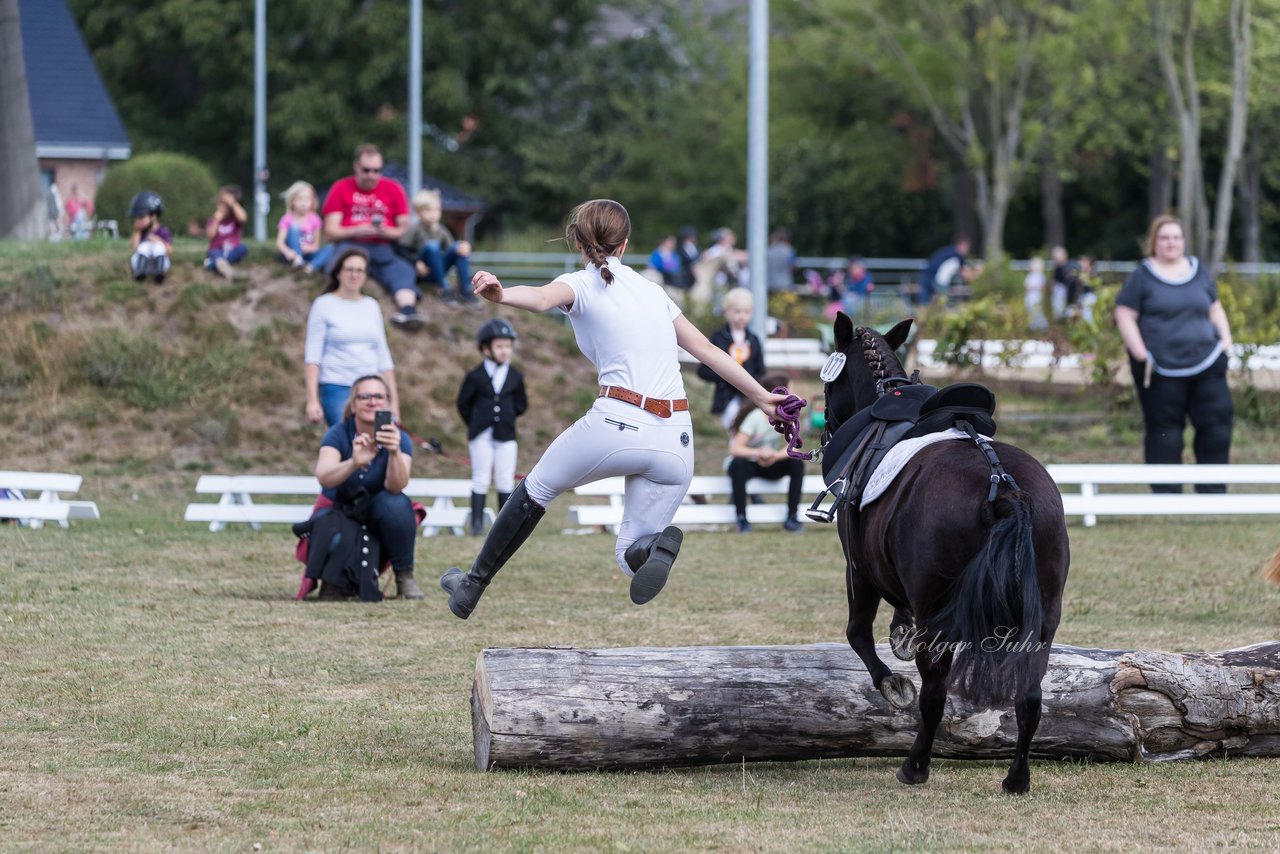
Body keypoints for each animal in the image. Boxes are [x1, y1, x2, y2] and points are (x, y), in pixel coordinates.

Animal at [824, 316, 1064, 793]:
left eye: (829, 388)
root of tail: (1004, 488)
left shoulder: (858, 569)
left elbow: (857, 633)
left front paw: (892, 683)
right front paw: (899, 633)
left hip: (938, 615)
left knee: (934, 694)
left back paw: (915, 767)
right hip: (1043, 616)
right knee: (1029, 696)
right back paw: (1016, 778)